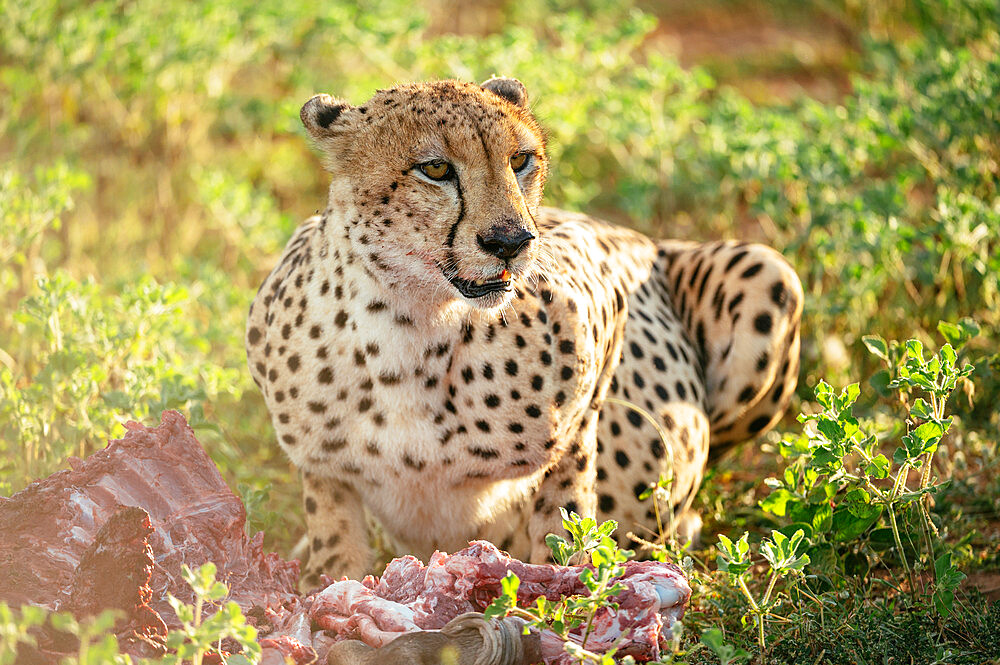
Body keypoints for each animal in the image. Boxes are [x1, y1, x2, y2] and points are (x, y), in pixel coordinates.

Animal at [248, 79, 804, 588]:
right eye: (435, 168)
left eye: (520, 160)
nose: (510, 242)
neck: (410, 325)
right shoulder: (321, 467)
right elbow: (333, 540)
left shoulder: (597, 316)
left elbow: (565, 511)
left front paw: (563, 596)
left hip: (771, 271)